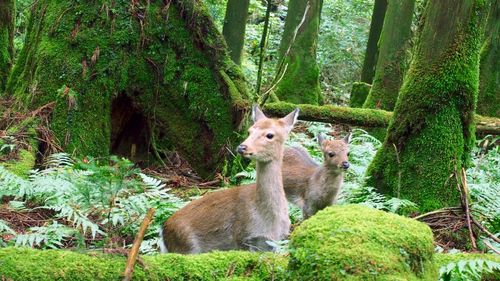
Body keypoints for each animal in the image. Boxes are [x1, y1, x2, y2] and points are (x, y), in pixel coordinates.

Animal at [159, 105, 296, 254]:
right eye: (249, 131)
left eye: (270, 135)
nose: (242, 147)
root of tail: (163, 231)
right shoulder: (242, 237)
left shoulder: (275, 241)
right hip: (186, 246)